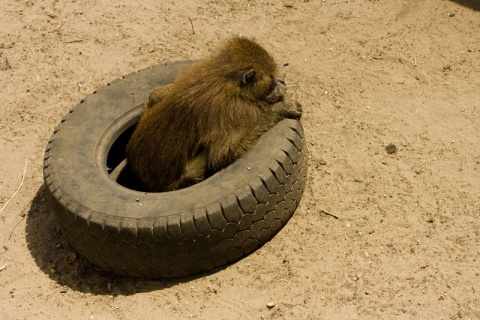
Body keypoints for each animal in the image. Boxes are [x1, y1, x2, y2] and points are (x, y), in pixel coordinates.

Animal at [125, 36, 302, 191]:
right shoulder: (233, 109)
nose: (282, 82)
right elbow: (224, 154)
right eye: (271, 79)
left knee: (154, 96)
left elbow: (159, 93)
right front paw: (281, 108)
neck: (227, 81)